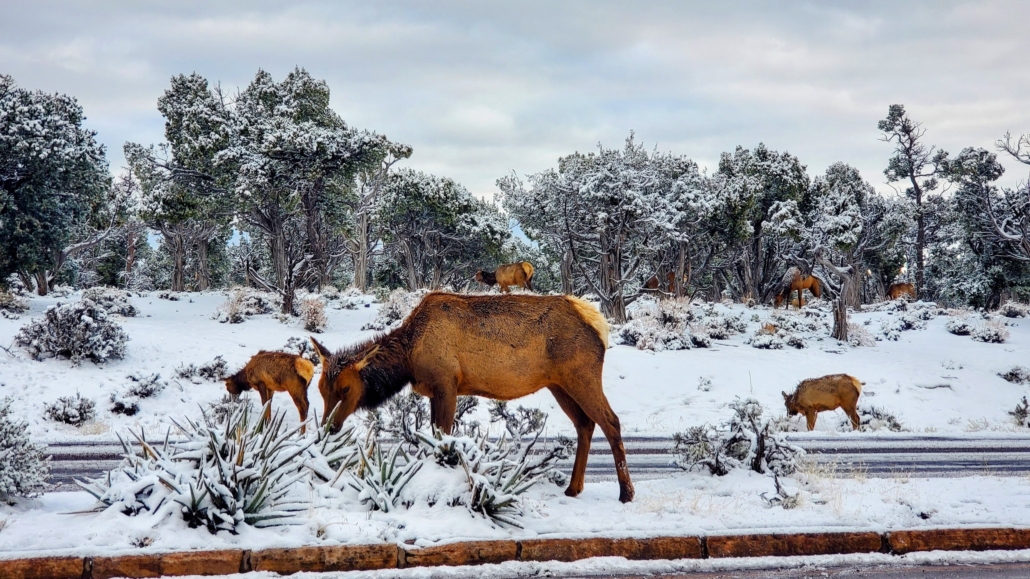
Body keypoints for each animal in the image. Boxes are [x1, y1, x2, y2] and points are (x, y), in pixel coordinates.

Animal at [310, 291, 635, 503]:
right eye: (321, 389)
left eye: (346, 389)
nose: (328, 427)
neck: (409, 359)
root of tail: (601, 328)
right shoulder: (435, 390)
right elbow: (434, 434)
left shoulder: (447, 382)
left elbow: (443, 435)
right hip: (559, 384)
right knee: (585, 424)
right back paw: (573, 488)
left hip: (581, 375)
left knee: (611, 421)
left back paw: (626, 492)